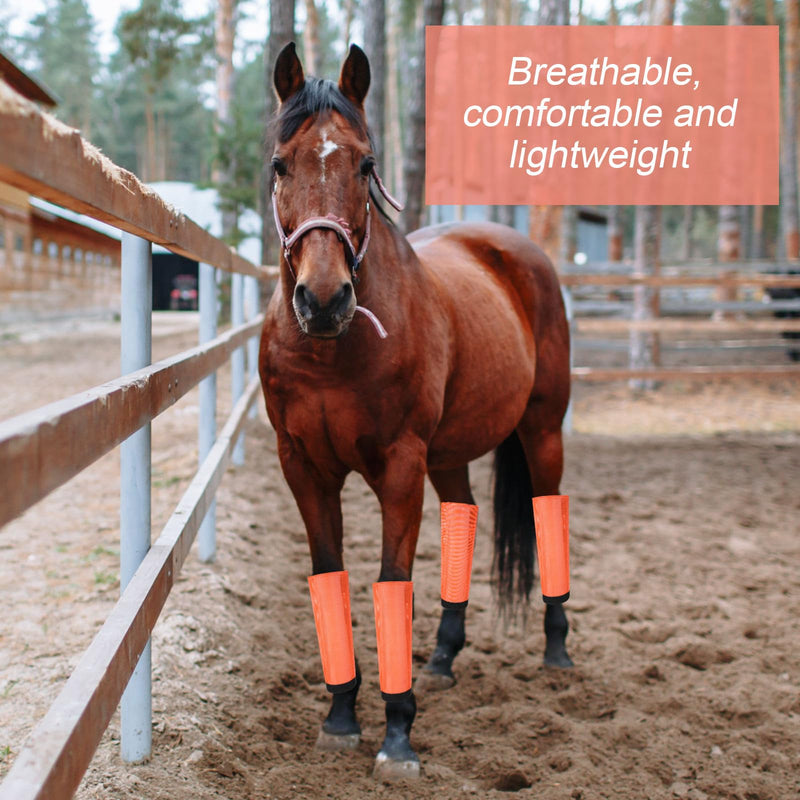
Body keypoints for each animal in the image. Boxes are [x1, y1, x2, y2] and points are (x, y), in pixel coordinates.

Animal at [258, 42, 573, 780]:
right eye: (280, 164)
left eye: (365, 164)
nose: (323, 300)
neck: (332, 351)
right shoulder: (303, 468)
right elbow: (331, 577)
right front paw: (341, 716)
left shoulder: (399, 467)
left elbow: (390, 581)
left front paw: (397, 733)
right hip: (450, 453)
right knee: (464, 513)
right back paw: (444, 656)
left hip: (542, 429)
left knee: (548, 509)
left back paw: (556, 647)